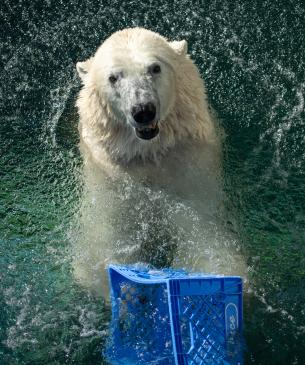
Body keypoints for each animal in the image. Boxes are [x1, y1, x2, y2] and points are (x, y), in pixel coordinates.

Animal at [72, 27, 245, 296]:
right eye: (113, 77)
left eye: (155, 68)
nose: (143, 110)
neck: (148, 152)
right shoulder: (110, 171)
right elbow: (106, 243)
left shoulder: (189, 162)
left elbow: (198, 225)